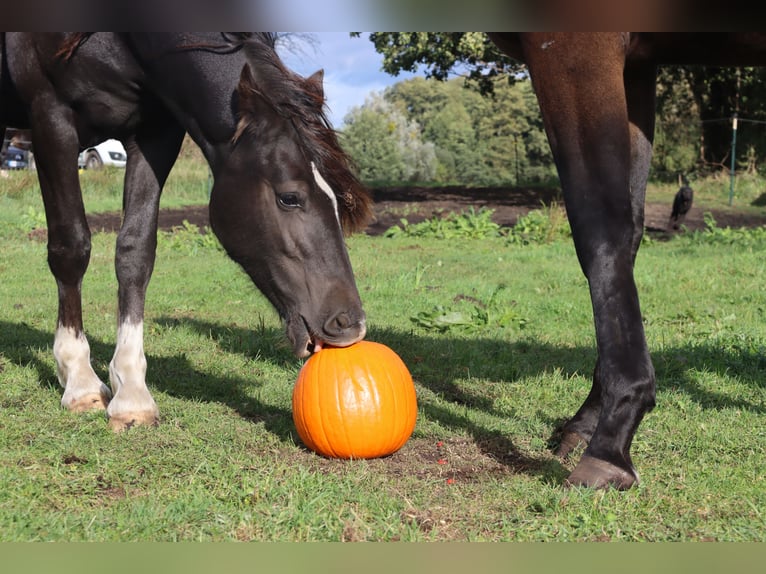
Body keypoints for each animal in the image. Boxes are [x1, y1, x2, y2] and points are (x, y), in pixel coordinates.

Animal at [0, 33, 371, 431]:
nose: (349, 324)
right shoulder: (51, 118)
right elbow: (72, 248)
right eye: (289, 197)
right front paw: (80, 381)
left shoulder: (155, 133)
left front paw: (132, 394)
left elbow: (135, 253)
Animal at [486, 32, 766, 489]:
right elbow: (630, 231)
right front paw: (588, 423)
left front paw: (610, 444)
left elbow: (601, 228)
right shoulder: (637, 65)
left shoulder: (573, 48)